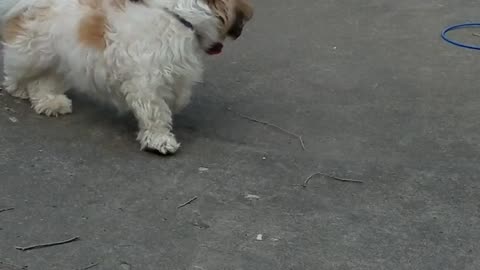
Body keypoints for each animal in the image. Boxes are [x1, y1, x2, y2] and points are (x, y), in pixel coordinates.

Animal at [0, 0, 253, 155]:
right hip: (33, 52)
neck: (182, 20)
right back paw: (20, 88)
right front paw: (159, 139)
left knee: (42, 83)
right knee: (17, 70)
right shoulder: (147, 82)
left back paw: (51, 101)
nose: (243, 26)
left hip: (61, 59)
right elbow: (156, 112)